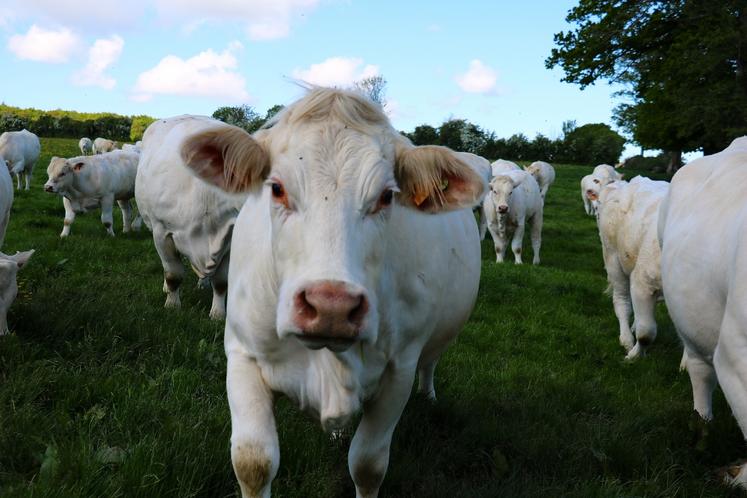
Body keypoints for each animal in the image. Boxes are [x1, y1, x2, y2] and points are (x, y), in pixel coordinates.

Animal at [136, 115, 247, 320]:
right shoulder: (162, 232)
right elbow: (173, 274)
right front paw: (172, 304)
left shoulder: (229, 238)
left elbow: (221, 282)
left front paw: (218, 313)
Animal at [179, 87, 488, 496]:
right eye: (277, 188)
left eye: (387, 196)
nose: (331, 307)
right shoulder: (242, 354)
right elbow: (253, 462)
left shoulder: (399, 370)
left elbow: (368, 465)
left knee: (431, 363)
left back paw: (430, 395)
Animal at [596, 177, 672, 360]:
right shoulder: (642, 282)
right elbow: (646, 333)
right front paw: (634, 356)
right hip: (613, 259)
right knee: (622, 301)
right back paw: (626, 339)